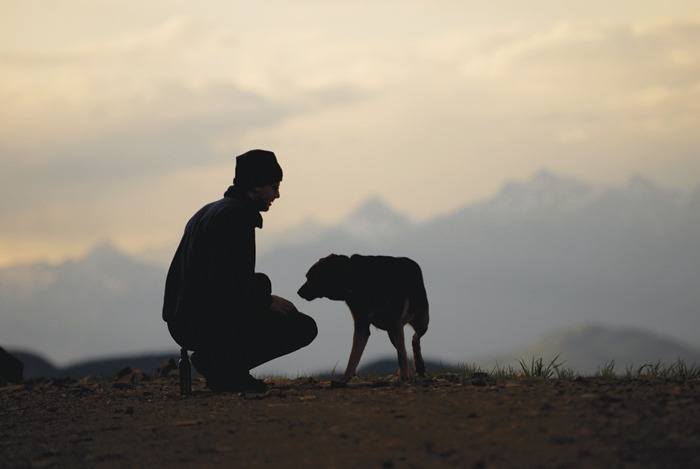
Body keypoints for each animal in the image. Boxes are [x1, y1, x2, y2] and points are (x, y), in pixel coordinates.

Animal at [296, 256, 426, 380]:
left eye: (311, 277)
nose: (298, 292)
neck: (355, 280)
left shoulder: (395, 323)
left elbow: (401, 354)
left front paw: (404, 376)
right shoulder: (362, 325)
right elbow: (354, 356)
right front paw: (345, 378)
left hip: (421, 322)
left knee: (415, 339)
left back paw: (417, 366)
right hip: (391, 332)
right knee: (405, 348)